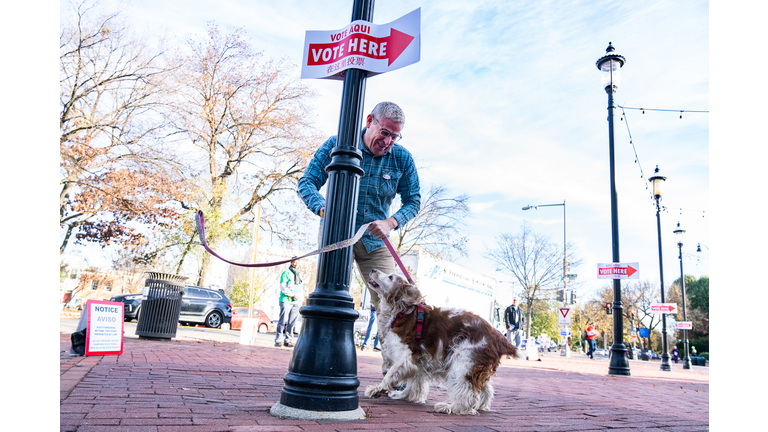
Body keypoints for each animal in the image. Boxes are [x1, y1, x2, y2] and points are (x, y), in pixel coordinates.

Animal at [364, 270, 520, 416]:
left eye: (390, 277)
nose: (373, 270)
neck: (402, 310)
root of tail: (498, 336)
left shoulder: (408, 355)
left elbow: (391, 374)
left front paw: (377, 389)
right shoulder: (419, 361)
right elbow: (414, 383)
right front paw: (404, 395)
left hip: (463, 362)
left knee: (469, 394)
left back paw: (450, 407)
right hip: (475, 367)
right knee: (485, 390)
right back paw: (480, 406)